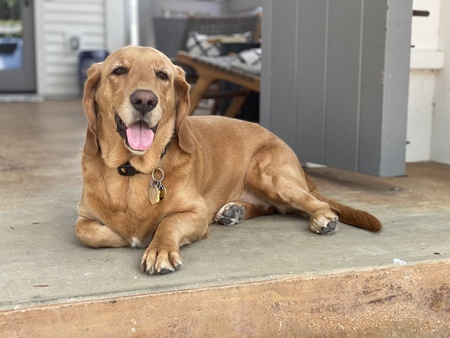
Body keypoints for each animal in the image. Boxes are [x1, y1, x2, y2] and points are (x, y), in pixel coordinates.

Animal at [75, 45, 382, 274]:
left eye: (162, 75)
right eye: (118, 70)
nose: (144, 100)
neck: (133, 171)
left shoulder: (195, 213)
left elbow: (167, 224)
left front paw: (158, 247)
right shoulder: (83, 218)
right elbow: (90, 233)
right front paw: (128, 234)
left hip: (266, 175)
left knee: (314, 204)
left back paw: (322, 218)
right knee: (273, 208)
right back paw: (234, 211)